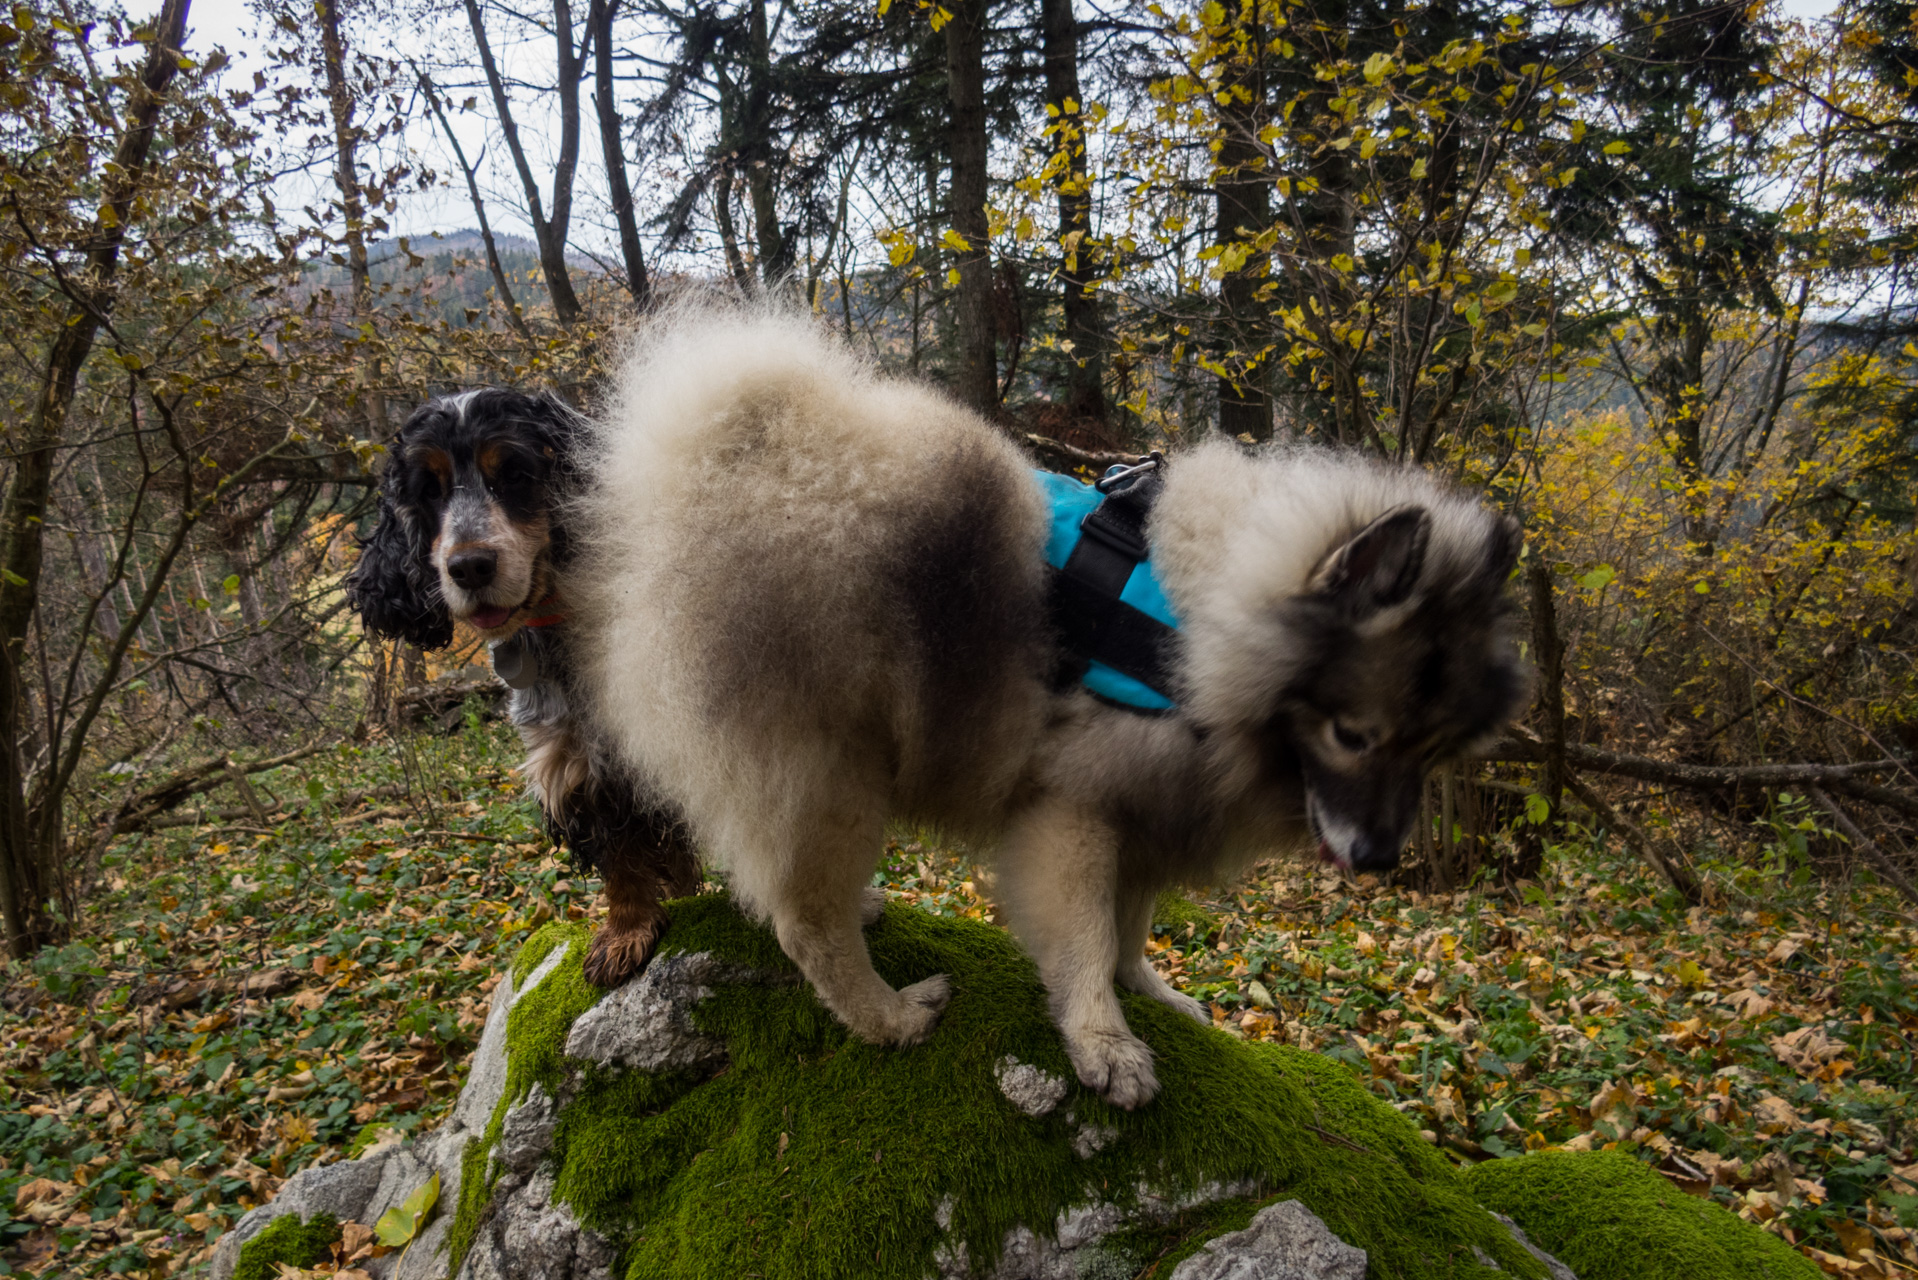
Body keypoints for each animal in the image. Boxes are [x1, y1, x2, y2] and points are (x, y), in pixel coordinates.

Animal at [571, 305, 1526, 1105]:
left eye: (1432, 752)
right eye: (1354, 735)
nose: (1380, 858)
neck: (1200, 635)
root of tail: (714, 469)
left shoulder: (1148, 814)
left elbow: (1133, 928)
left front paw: (1153, 994)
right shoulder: (1075, 815)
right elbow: (1087, 940)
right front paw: (1103, 1041)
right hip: (833, 775)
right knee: (807, 922)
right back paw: (890, 1016)